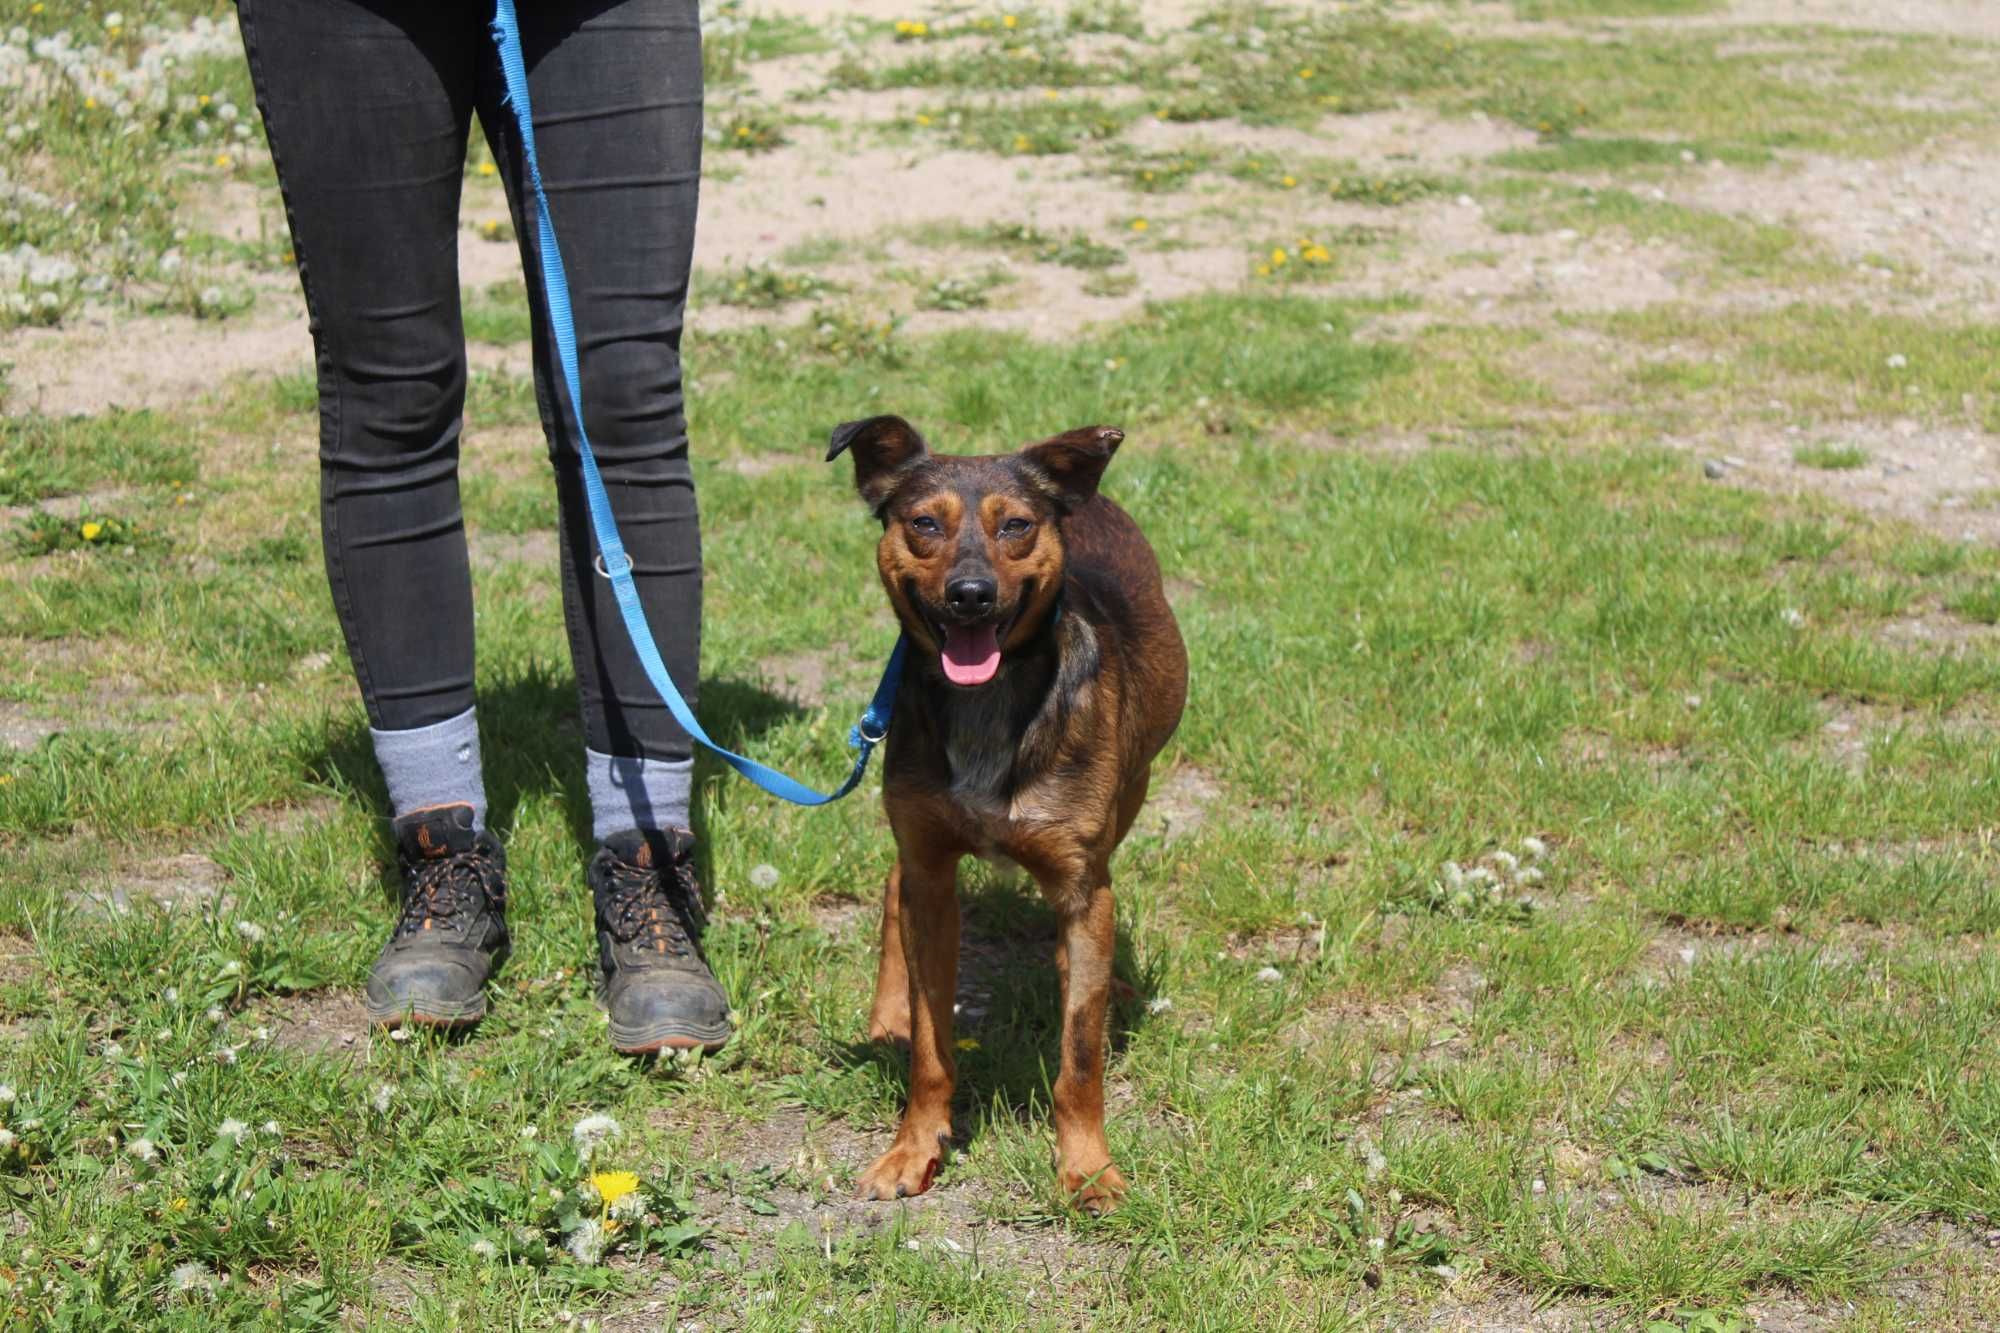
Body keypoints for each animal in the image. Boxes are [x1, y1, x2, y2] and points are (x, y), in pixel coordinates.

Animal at [828, 412, 1184, 1200]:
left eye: (1016, 526)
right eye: (924, 523)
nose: (970, 593)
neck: (987, 701)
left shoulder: (1083, 881)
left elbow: (1079, 1055)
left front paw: (1087, 1167)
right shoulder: (931, 870)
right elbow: (932, 1045)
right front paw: (912, 1148)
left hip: (1131, 792)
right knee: (894, 882)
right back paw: (887, 1015)